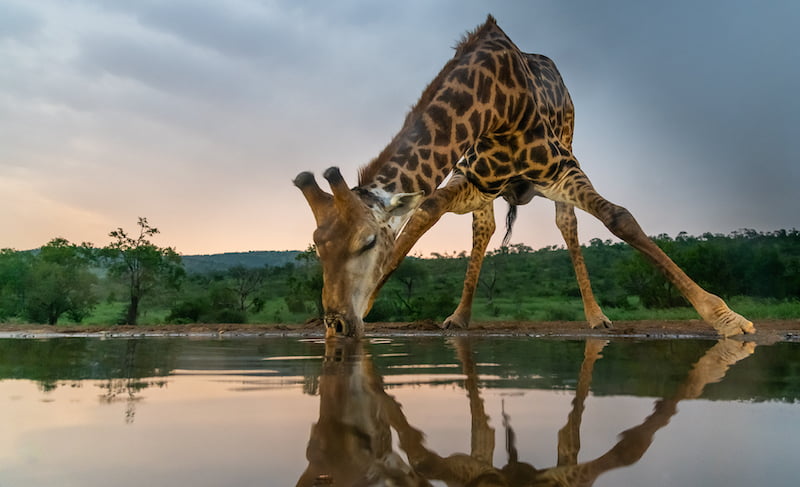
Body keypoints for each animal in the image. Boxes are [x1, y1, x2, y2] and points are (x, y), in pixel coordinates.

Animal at [294, 15, 754, 338]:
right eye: (317, 247)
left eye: (367, 242)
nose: (337, 323)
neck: (497, 104)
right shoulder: (473, 178)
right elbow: (423, 215)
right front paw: (367, 307)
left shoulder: (561, 167)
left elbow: (619, 217)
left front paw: (728, 319)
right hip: (487, 193)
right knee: (482, 229)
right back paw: (458, 317)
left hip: (562, 162)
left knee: (568, 223)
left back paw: (596, 318)